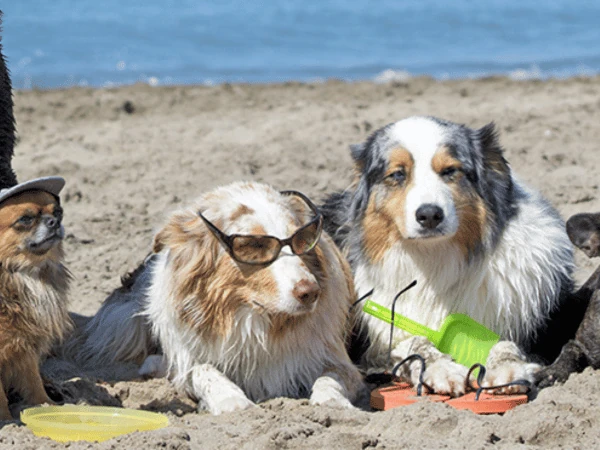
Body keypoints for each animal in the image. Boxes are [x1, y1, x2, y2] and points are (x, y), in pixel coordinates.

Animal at [0, 178, 70, 418]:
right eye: (26, 219)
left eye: (58, 212)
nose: (54, 222)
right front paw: (7, 420)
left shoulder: (25, 345)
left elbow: (33, 381)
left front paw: (46, 406)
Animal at [70, 181, 360, 414]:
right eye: (255, 244)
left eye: (303, 240)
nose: (310, 292)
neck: (253, 321)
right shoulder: (190, 357)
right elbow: (202, 369)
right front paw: (231, 400)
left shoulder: (335, 359)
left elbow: (330, 377)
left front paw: (332, 402)